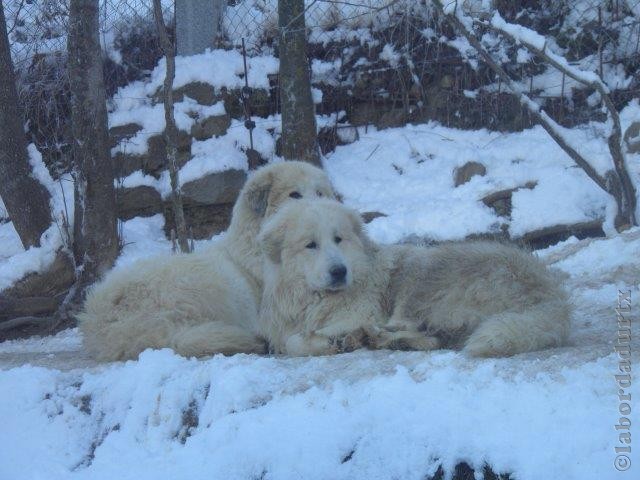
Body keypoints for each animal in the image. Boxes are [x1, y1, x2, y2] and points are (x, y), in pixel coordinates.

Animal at [258, 198, 572, 356]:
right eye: (311, 244)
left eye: (338, 239)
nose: (339, 271)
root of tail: (551, 294)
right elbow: (289, 340)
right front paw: (339, 340)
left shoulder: (362, 313)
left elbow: (295, 341)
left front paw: (333, 341)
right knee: (436, 338)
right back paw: (387, 340)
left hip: (425, 281)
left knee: (423, 330)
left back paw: (377, 336)